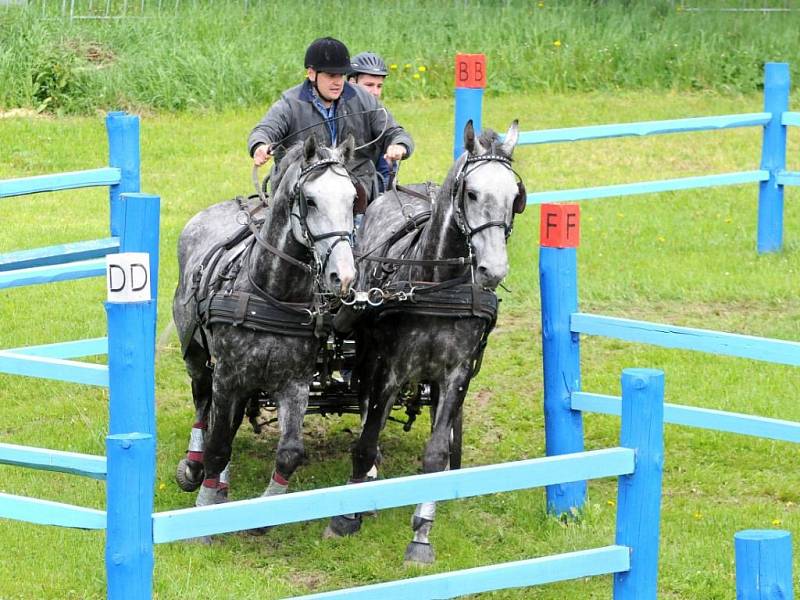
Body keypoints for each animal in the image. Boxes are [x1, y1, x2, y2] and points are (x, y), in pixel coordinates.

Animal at [173, 136, 358, 510]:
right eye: (310, 200)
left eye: (352, 198)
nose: (343, 276)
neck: (273, 297)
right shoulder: (228, 376)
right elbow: (218, 446)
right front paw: (206, 501)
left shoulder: (295, 383)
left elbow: (289, 452)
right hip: (196, 355)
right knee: (202, 402)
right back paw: (194, 467)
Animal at [324, 120, 524, 564]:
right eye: (471, 193)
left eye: (515, 196)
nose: (493, 269)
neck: (436, 286)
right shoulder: (391, 369)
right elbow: (366, 441)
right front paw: (347, 517)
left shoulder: (455, 375)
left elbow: (435, 453)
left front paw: (421, 535)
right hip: (369, 354)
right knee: (366, 407)